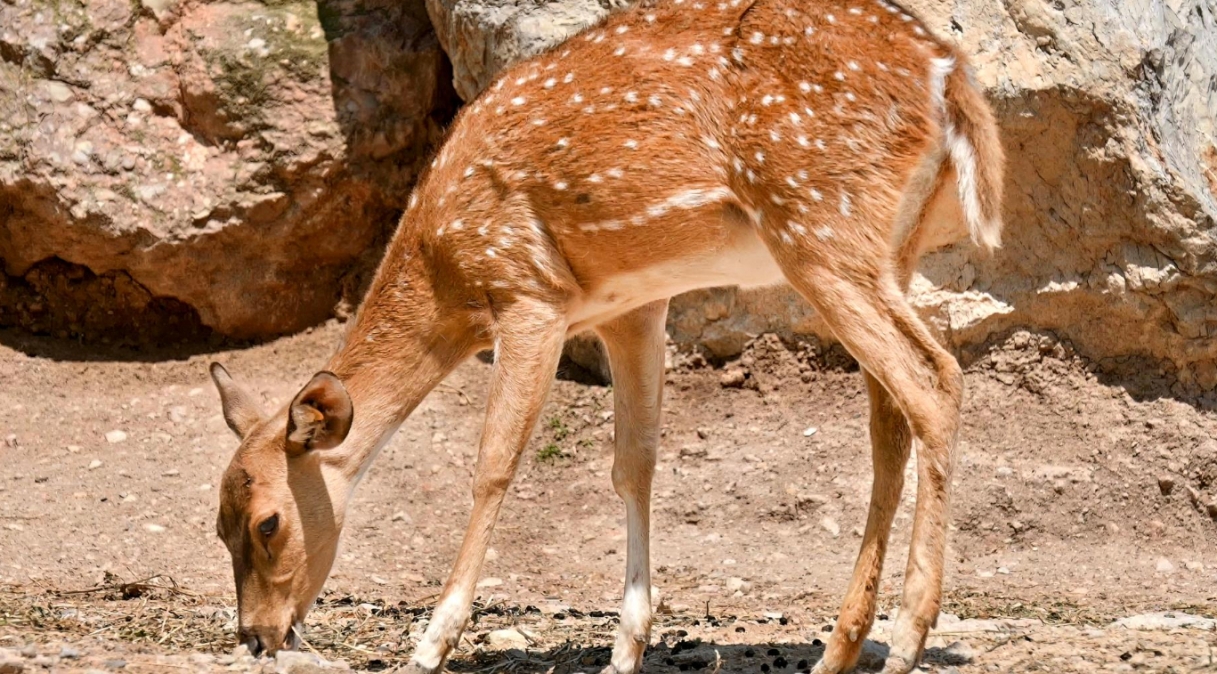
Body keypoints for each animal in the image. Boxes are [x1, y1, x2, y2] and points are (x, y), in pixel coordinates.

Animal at [211, 0, 1007, 666]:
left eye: (267, 522)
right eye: (217, 524)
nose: (257, 635)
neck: (445, 272)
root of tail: (949, 78)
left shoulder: (529, 294)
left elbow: (493, 463)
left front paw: (431, 645)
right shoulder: (631, 307)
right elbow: (634, 464)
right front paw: (626, 648)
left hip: (817, 223)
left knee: (934, 379)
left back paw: (907, 640)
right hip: (888, 248)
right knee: (890, 424)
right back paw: (839, 649)